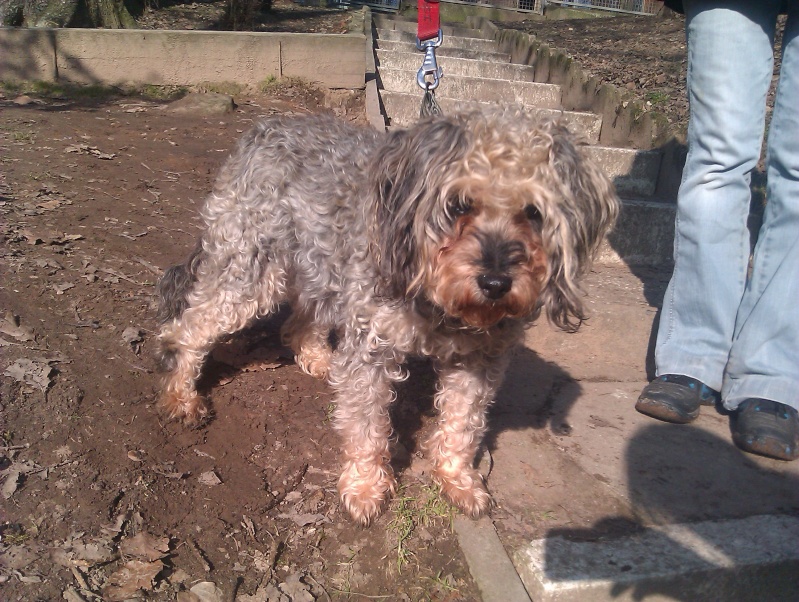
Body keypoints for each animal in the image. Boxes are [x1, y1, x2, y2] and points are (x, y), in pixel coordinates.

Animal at [155, 109, 620, 524]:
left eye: (533, 212)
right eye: (459, 205)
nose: (495, 283)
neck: (438, 301)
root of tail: (260, 130)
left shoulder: (478, 359)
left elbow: (463, 422)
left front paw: (458, 479)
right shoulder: (371, 346)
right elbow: (366, 425)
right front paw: (366, 486)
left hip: (317, 261)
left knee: (300, 317)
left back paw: (318, 358)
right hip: (253, 269)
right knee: (187, 326)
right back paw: (182, 395)